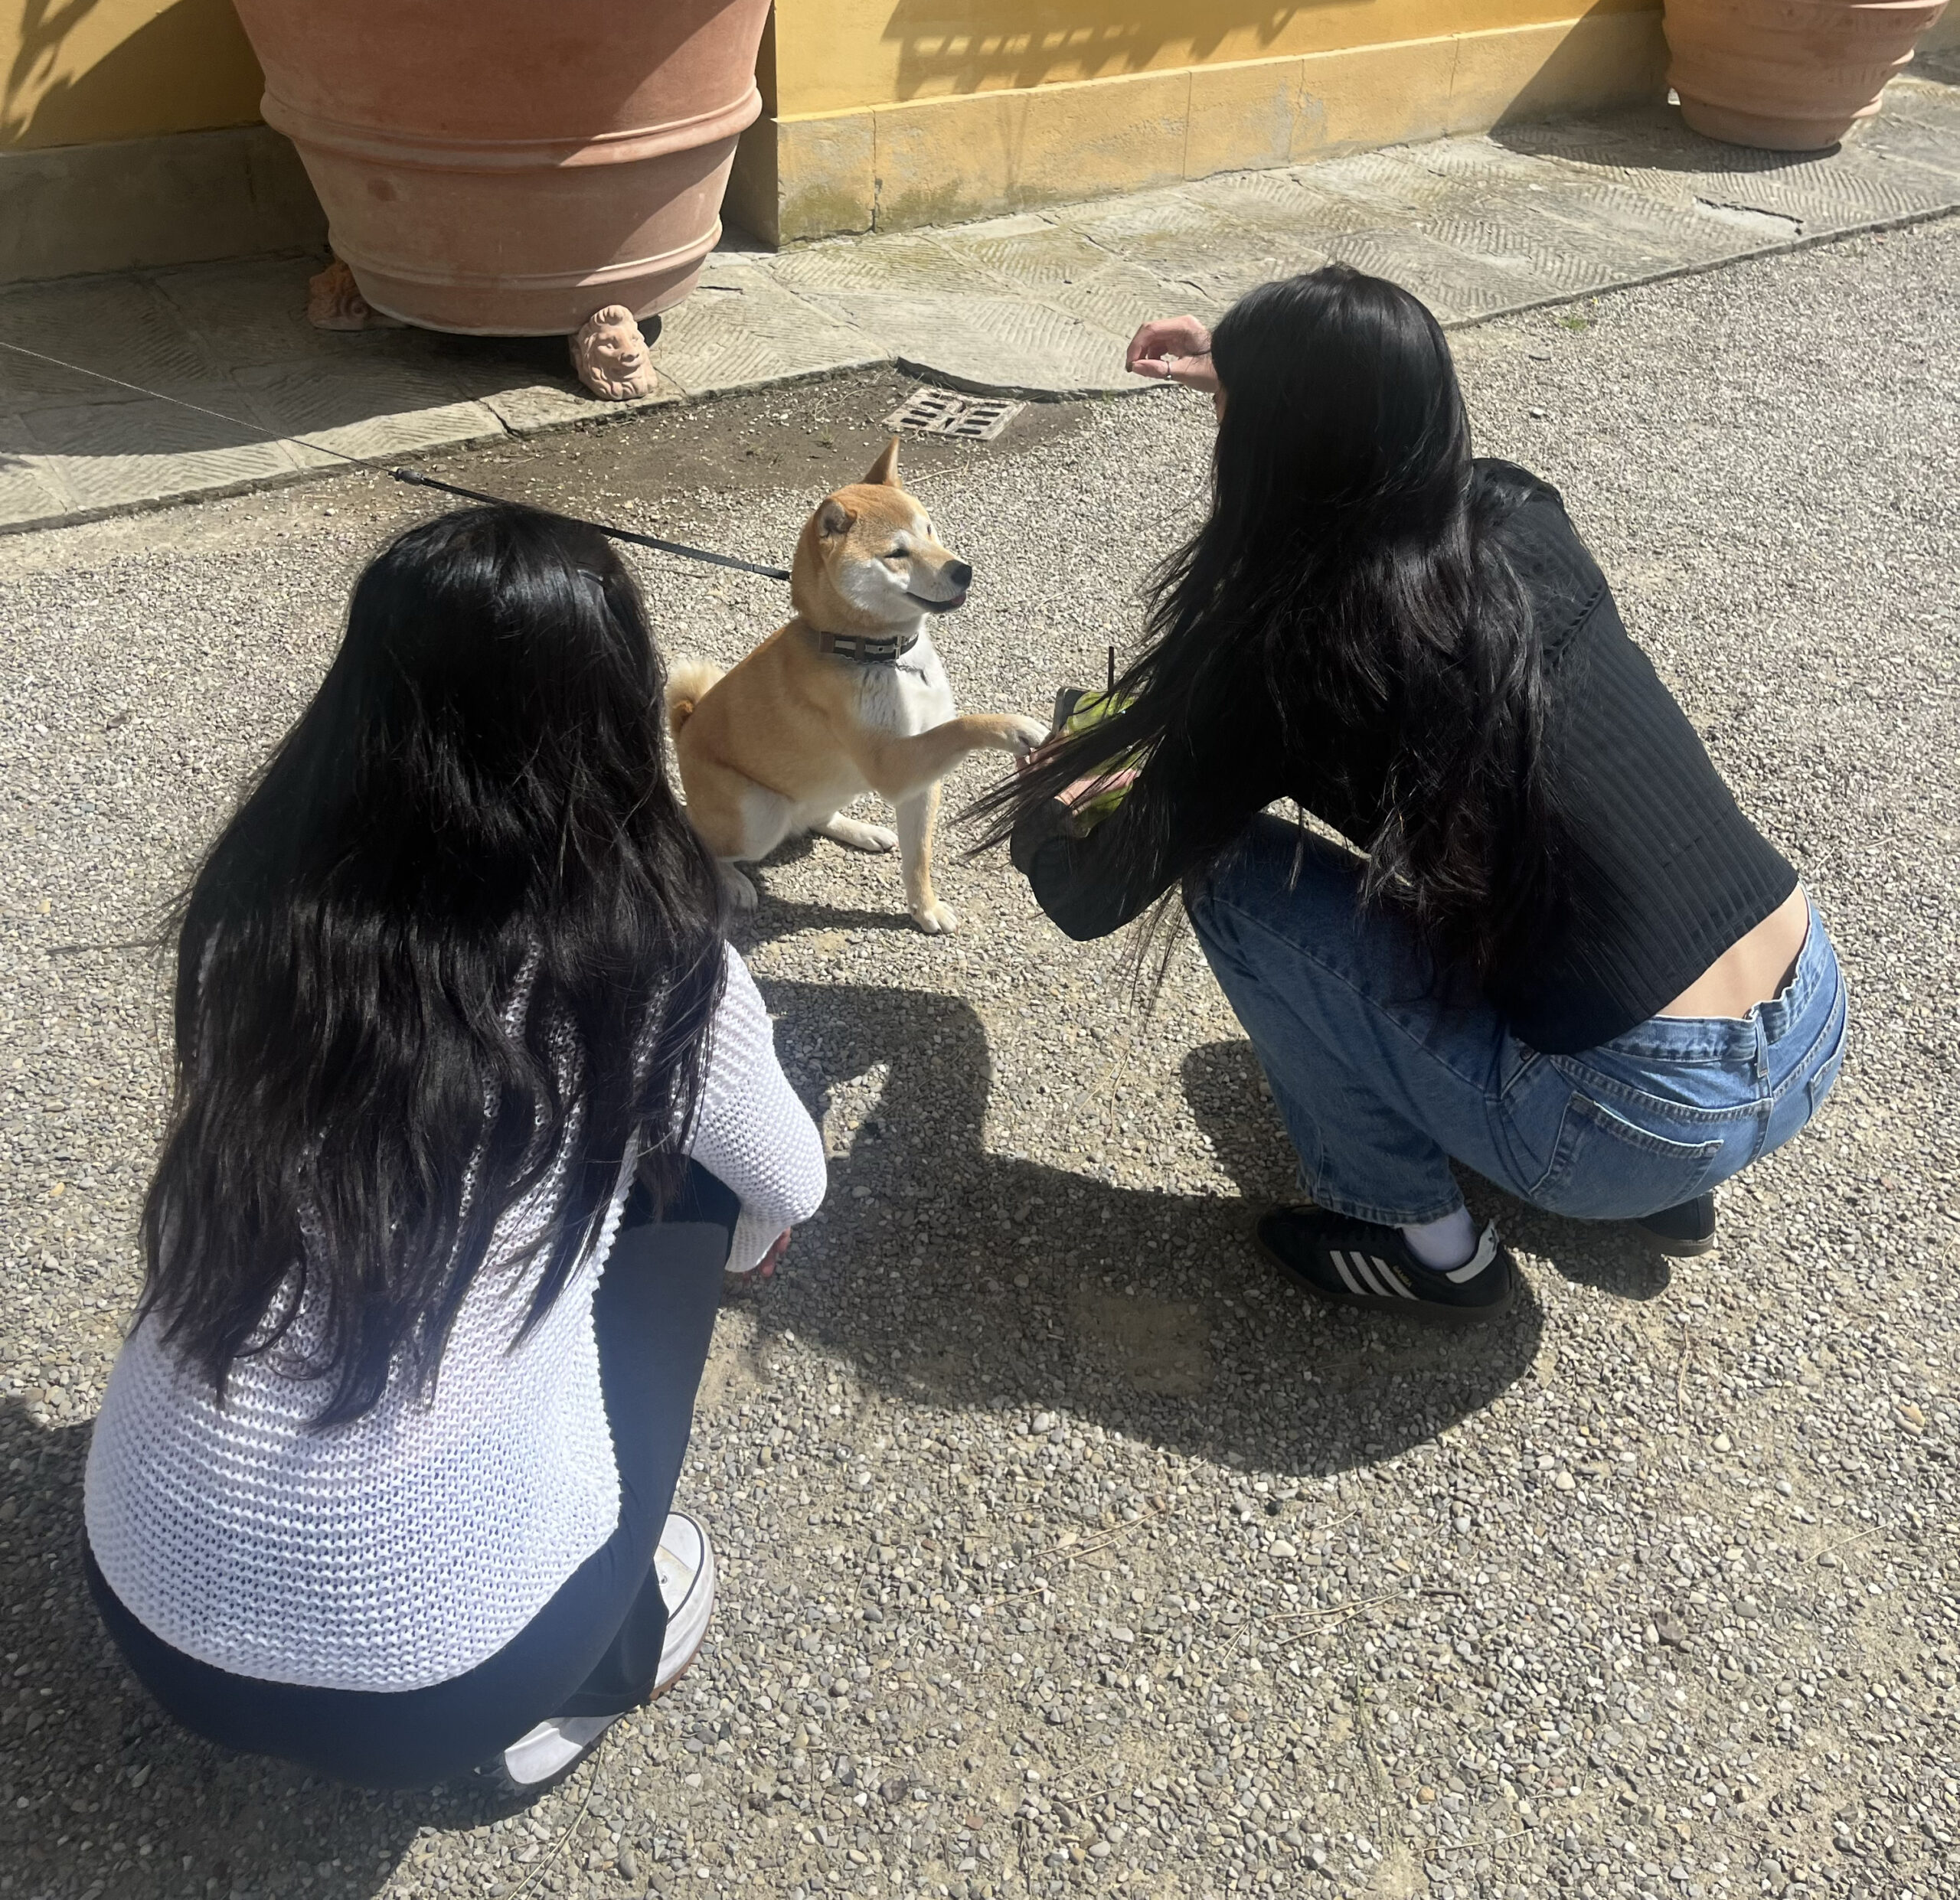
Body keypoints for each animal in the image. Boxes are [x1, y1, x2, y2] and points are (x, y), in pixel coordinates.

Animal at [666, 430, 1050, 932]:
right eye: (896, 554)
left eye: (929, 530)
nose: (962, 569)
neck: (881, 654)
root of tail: (685, 725)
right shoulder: (892, 766)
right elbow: (961, 727)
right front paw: (1011, 728)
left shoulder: (919, 783)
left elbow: (918, 858)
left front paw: (925, 908)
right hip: (759, 815)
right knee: (705, 840)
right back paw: (732, 882)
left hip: (831, 784)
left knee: (813, 817)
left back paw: (861, 830)